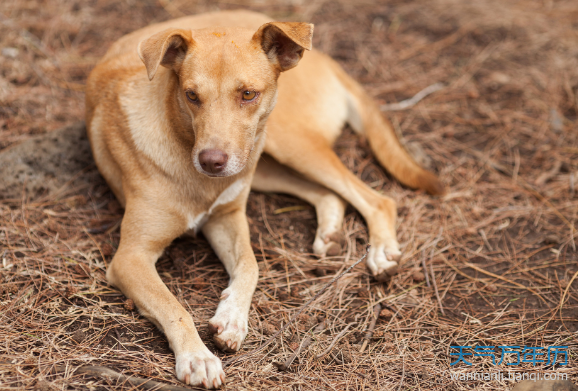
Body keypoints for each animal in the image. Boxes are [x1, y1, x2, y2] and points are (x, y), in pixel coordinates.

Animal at [83, 9, 438, 388]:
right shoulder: (131, 257)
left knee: (377, 199)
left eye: (248, 94)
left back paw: (381, 251)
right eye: (191, 95)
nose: (211, 161)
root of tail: (325, 57)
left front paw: (232, 318)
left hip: (286, 141)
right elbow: (173, 304)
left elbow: (250, 265)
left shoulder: (227, 217)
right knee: (330, 194)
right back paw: (330, 233)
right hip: (267, 160)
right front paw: (198, 356)